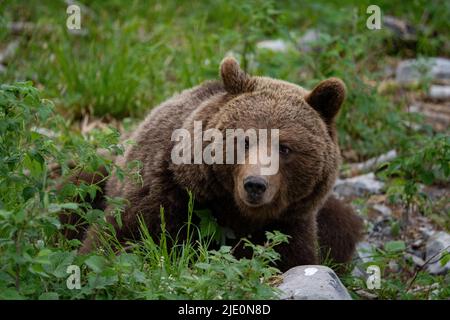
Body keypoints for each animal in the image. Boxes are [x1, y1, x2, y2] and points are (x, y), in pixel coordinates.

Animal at [76, 57, 362, 270]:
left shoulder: (290, 224)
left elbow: (293, 260)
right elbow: (118, 237)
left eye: (285, 147)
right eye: (245, 140)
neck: (234, 211)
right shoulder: (166, 191)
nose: (255, 184)